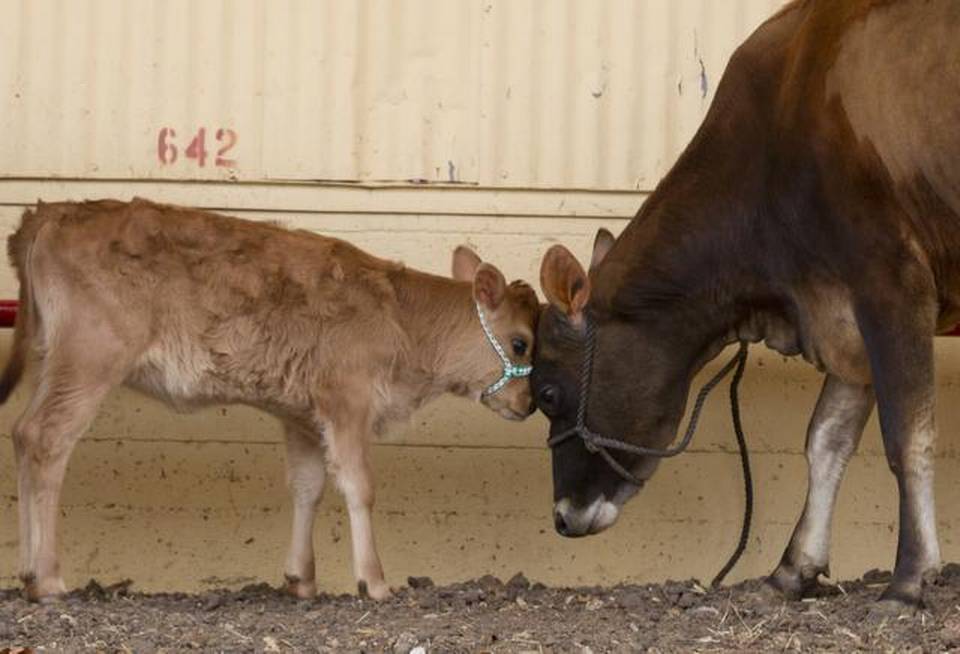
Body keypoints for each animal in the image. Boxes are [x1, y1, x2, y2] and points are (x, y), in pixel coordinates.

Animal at [0, 200, 540, 604]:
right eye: (520, 344)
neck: (402, 320)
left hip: (56, 359)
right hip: (90, 357)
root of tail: (51, 212)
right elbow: (359, 485)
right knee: (48, 439)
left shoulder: (300, 413)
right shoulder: (347, 398)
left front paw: (301, 578)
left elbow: (307, 487)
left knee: (23, 433)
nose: (530, 402)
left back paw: (26, 572)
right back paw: (48, 577)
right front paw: (375, 581)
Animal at [532, 0, 960, 612]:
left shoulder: (891, 281)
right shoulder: (841, 310)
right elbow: (824, 440)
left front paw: (909, 578)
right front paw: (792, 569)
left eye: (546, 392)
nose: (563, 517)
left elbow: (907, 437)